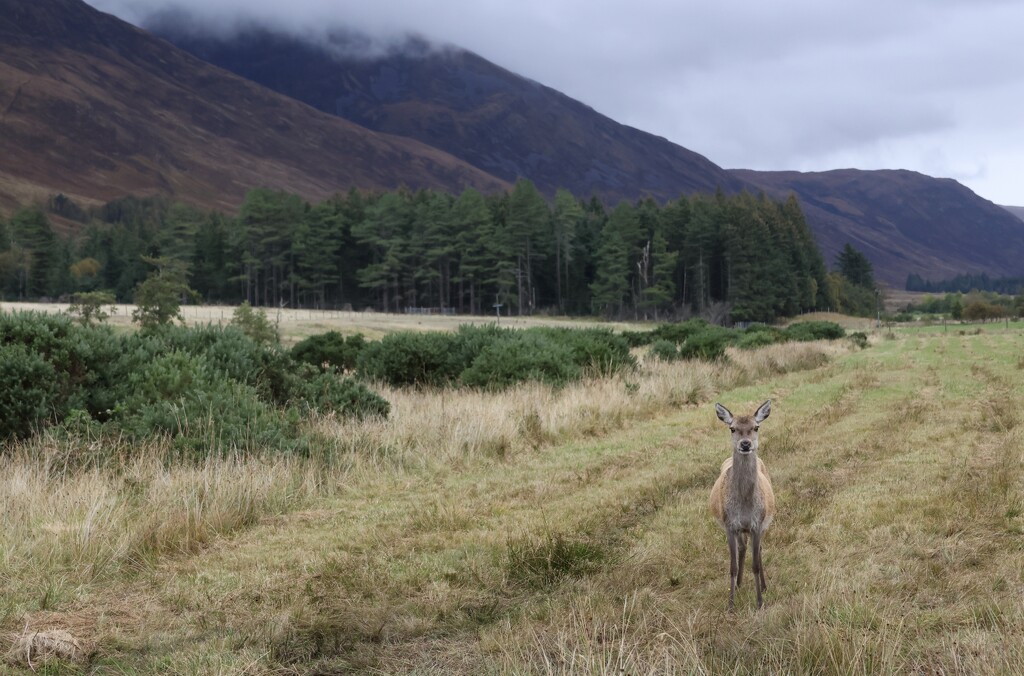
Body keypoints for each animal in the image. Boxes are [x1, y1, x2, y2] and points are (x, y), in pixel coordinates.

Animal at [712, 399, 774, 610]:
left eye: (756, 427)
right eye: (732, 428)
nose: (746, 444)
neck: (745, 506)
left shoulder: (757, 524)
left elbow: (754, 565)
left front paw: (760, 602)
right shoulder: (730, 525)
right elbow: (732, 566)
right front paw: (730, 604)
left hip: (762, 525)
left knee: (758, 550)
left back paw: (764, 586)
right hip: (740, 530)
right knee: (742, 549)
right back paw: (738, 585)